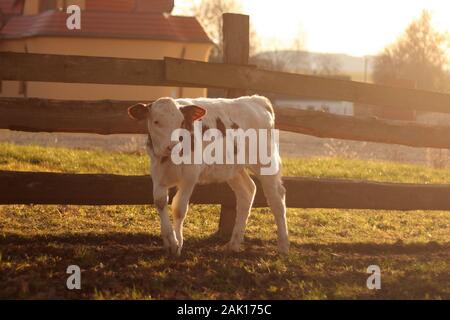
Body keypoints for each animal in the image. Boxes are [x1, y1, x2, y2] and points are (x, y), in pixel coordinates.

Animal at [126, 95, 288, 255]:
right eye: (156, 121)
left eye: (181, 122)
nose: (173, 146)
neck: (168, 159)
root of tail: (256, 100)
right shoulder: (157, 174)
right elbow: (160, 202)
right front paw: (170, 242)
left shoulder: (189, 176)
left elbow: (179, 209)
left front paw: (178, 244)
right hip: (233, 169)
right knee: (247, 191)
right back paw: (234, 244)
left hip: (266, 162)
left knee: (277, 199)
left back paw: (283, 246)